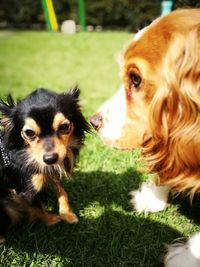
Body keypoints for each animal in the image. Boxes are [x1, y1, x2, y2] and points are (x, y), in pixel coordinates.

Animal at [0, 87, 90, 242]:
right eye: (29, 133)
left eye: (64, 126)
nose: (50, 158)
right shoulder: (23, 191)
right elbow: (37, 208)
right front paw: (51, 220)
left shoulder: (48, 170)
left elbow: (62, 190)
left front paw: (67, 214)